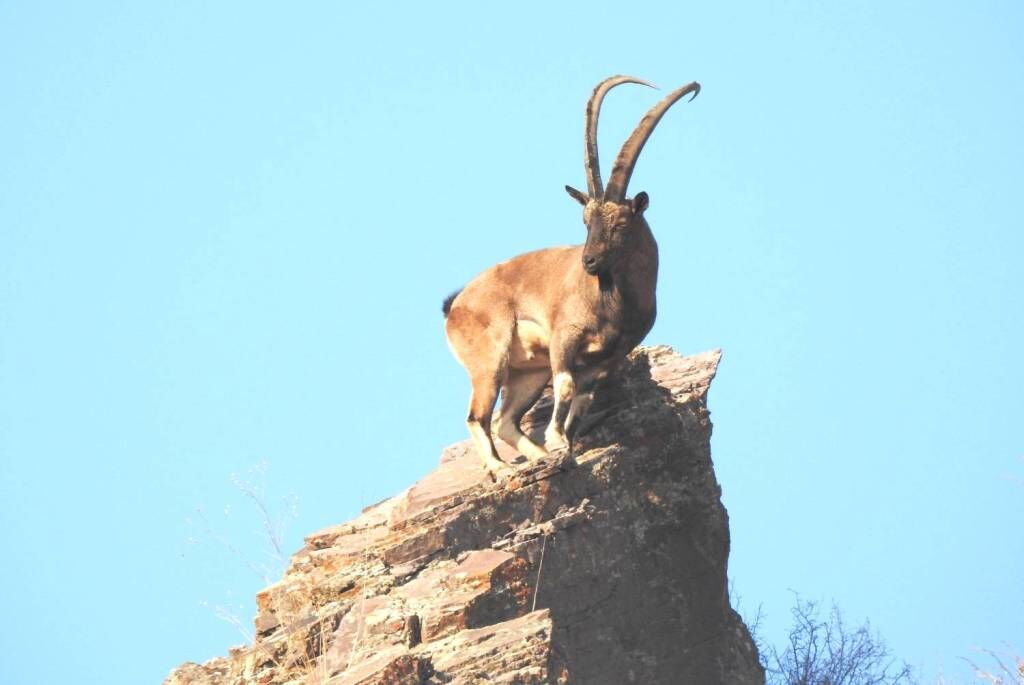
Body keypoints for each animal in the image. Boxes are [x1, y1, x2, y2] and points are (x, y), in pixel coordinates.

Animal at [444, 72, 700, 473]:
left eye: (621, 223)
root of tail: (455, 307)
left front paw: (564, 445)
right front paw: (555, 437)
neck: (613, 303)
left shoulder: (612, 356)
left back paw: (538, 458)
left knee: (504, 420)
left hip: (528, 373)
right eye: (585, 220)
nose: (589, 261)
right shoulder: (565, 337)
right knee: (477, 416)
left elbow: (583, 399)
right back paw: (502, 468)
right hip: (490, 360)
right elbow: (566, 386)